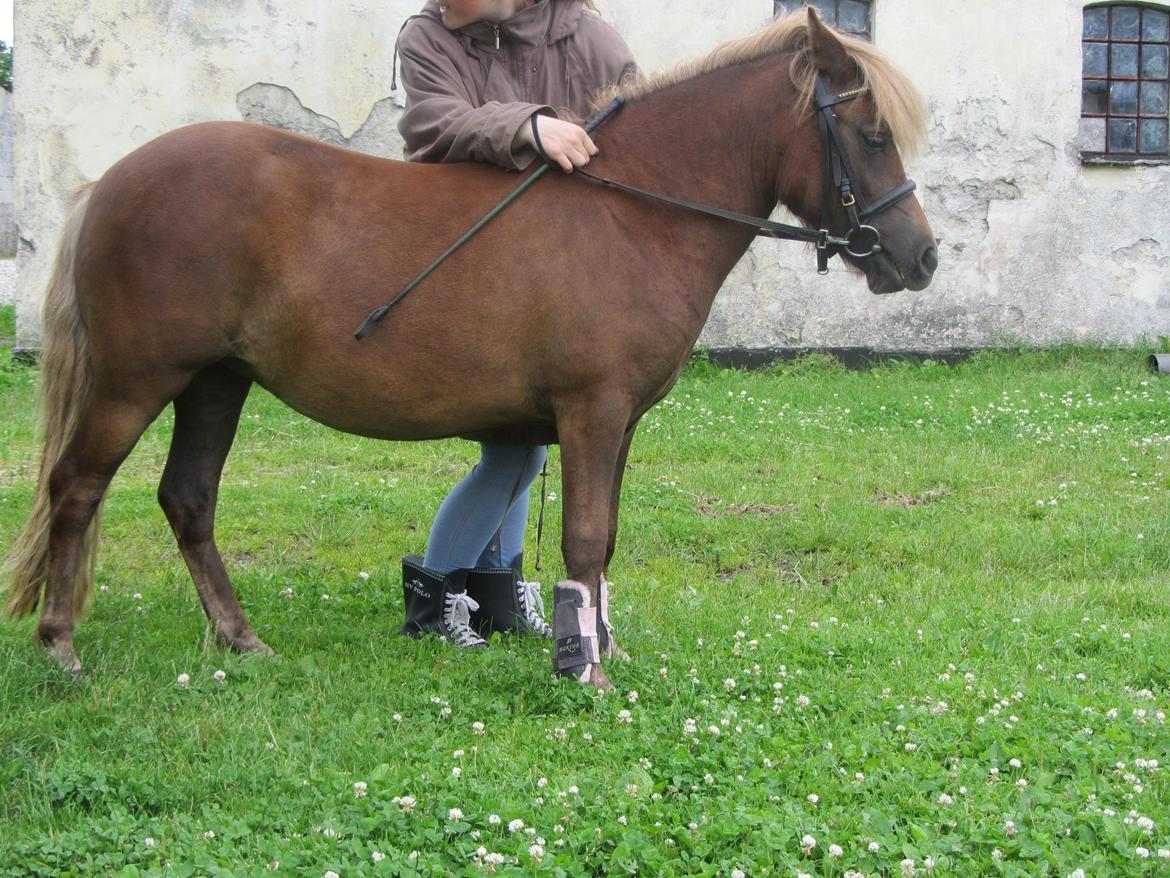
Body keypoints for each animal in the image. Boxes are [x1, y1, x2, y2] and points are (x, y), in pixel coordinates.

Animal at [0, 10, 931, 693]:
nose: (920, 258)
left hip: (215, 384)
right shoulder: (593, 413)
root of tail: (107, 185)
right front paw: (586, 672)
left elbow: (606, 540)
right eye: (871, 134)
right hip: (137, 383)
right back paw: (60, 645)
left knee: (188, 501)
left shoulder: (617, 423)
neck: (634, 212)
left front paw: (604, 647)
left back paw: (240, 639)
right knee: (75, 490)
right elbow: (585, 540)